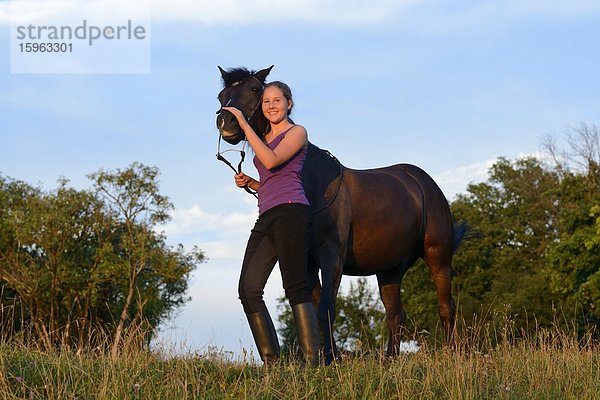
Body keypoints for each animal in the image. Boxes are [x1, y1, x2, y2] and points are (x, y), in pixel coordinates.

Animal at [213, 65, 466, 362]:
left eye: (255, 90)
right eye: (222, 96)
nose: (226, 123)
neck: (315, 182)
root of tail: (422, 182)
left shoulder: (332, 254)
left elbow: (327, 307)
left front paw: (329, 359)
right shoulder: (308, 261)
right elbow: (314, 306)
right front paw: (326, 356)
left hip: (438, 257)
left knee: (446, 307)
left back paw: (453, 355)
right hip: (389, 269)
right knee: (395, 315)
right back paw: (390, 360)